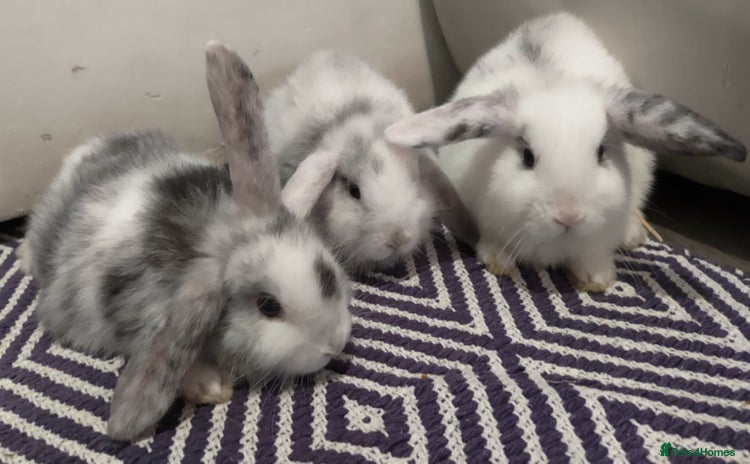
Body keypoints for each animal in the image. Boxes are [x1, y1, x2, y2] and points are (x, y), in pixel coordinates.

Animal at [21, 41, 352, 441]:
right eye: (268, 307)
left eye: (327, 274)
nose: (334, 344)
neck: (210, 231)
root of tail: (82, 153)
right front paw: (209, 386)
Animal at [384, 12, 746, 292]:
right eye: (527, 157)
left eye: (601, 153)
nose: (569, 216)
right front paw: (499, 261)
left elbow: (592, 254)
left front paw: (597, 278)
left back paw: (632, 236)